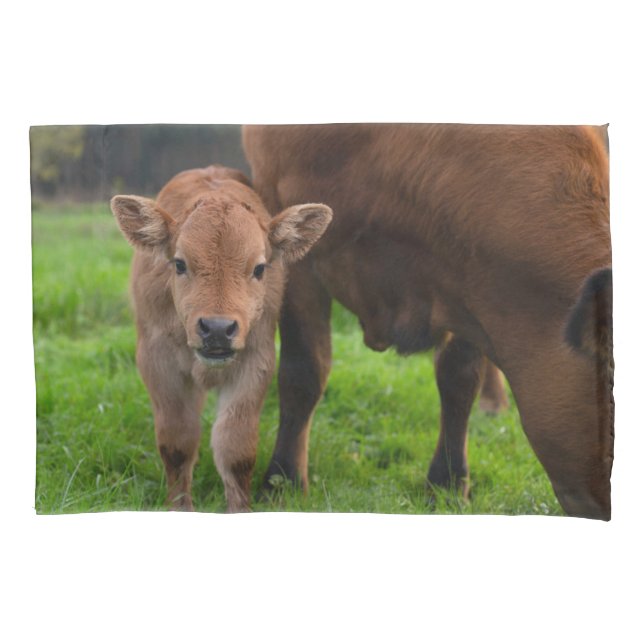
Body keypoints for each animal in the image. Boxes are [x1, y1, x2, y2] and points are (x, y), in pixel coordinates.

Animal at [110, 165, 332, 512]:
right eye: (179, 263)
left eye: (259, 268)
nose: (216, 328)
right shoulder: (157, 363)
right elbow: (177, 443)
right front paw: (180, 508)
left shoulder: (256, 362)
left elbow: (235, 449)